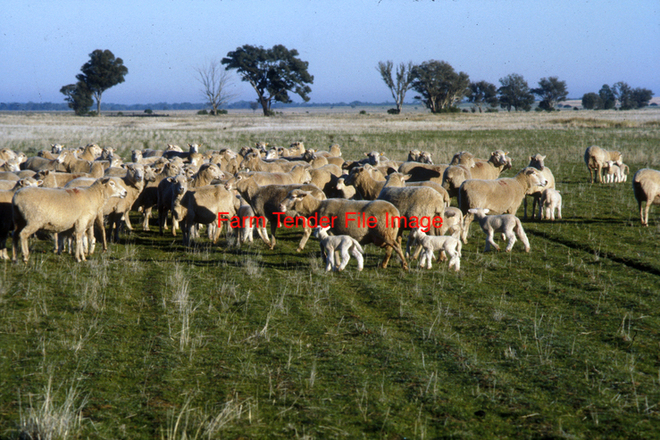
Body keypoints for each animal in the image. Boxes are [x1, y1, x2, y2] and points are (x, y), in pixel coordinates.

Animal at [278, 189, 408, 269]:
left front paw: (333, 262)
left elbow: (326, 246)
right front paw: (331, 260)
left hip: (384, 231)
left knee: (396, 246)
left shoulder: (329, 231)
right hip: (389, 233)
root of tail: (394, 210)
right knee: (390, 249)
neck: (316, 207)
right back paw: (383, 265)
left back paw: (404, 265)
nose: (280, 205)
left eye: (292, 197)